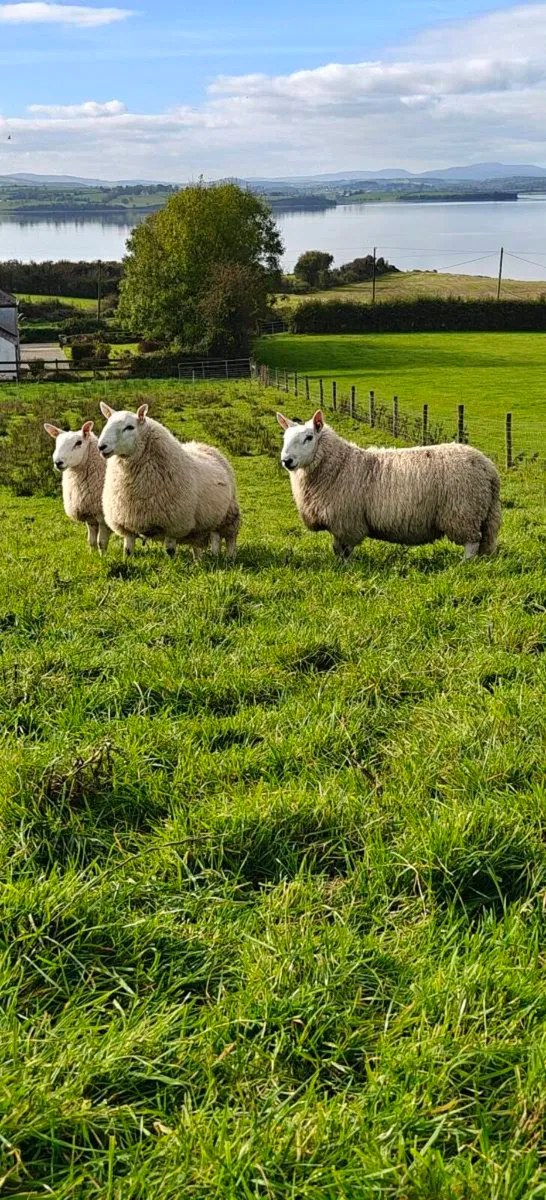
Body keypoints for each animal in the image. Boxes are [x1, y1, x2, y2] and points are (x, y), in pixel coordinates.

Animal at [44, 420, 112, 554]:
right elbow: (91, 541)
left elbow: (101, 543)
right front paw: (92, 555)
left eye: (78, 443)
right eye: (57, 442)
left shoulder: (103, 517)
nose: (58, 462)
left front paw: (104, 557)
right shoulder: (89, 515)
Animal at [97, 402, 241, 560]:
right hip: (205, 522)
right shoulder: (126, 523)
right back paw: (204, 559)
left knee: (230, 537)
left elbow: (170, 551)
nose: (101, 446)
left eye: (129, 427)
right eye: (107, 423)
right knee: (206, 541)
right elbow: (128, 550)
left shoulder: (174, 523)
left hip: (229, 514)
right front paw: (128, 561)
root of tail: (204, 446)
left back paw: (230, 557)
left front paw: (172, 564)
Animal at [276, 409, 501, 561]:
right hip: (478, 513)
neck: (340, 465)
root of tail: (488, 467)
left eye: (309, 437)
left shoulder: (346, 521)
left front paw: (345, 568)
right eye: (284, 438)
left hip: (463, 512)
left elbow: (343, 550)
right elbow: (337, 549)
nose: (287, 461)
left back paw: (463, 565)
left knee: (472, 543)